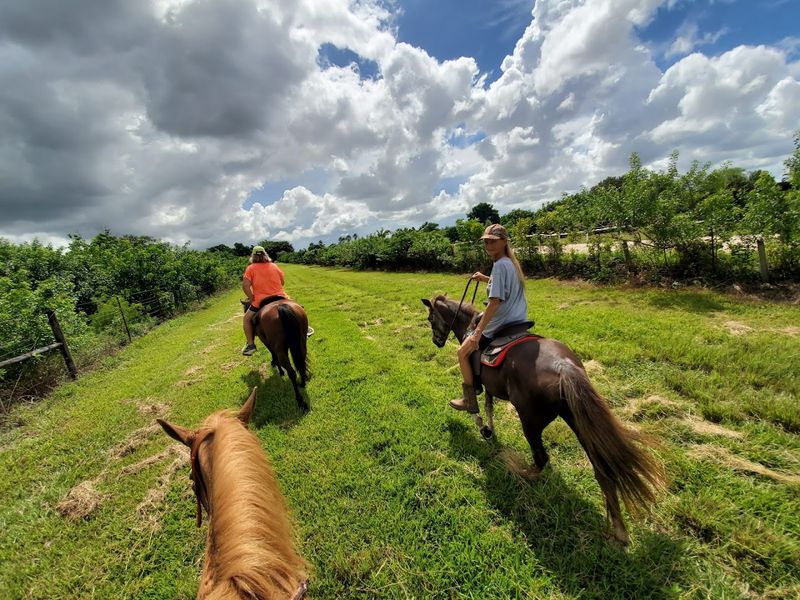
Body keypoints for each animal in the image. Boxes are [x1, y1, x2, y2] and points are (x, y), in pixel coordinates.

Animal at [422, 294, 666, 545]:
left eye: (430, 318)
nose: (436, 341)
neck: (470, 325)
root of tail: (563, 367)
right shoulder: (490, 387)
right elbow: (489, 407)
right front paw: (489, 430)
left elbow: (477, 404)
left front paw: (479, 423)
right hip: (578, 421)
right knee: (602, 468)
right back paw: (619, 528)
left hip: (531, 423)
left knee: (541, 458)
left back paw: (520, 473)